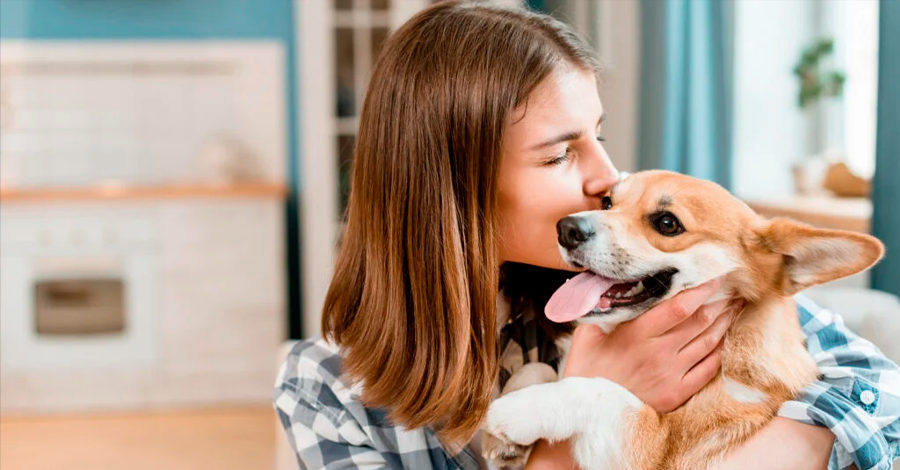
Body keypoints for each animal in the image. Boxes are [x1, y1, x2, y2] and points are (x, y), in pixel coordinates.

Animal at [482, 171, 884, 470]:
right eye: (608, 203)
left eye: (666, 223)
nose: (566, 228)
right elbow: (538, 369)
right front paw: (504, 439)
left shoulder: (656, 449)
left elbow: (596, 389)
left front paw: (514, 412)